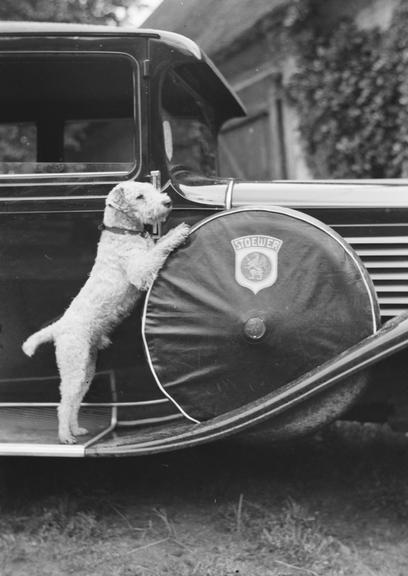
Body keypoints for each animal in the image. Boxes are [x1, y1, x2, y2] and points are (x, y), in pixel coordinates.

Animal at [21, 182, 190, 444]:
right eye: (139, 196)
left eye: (149, 188)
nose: (167, 202)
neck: (122, 232)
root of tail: (58, 327)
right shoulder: (139, 271)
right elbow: (156, 252)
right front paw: (178, 232)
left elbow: (155, 247)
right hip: (73, 366)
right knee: (63, 404)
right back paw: (65, 437)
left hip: (86, 370)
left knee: (75, 402)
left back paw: (77, 430)